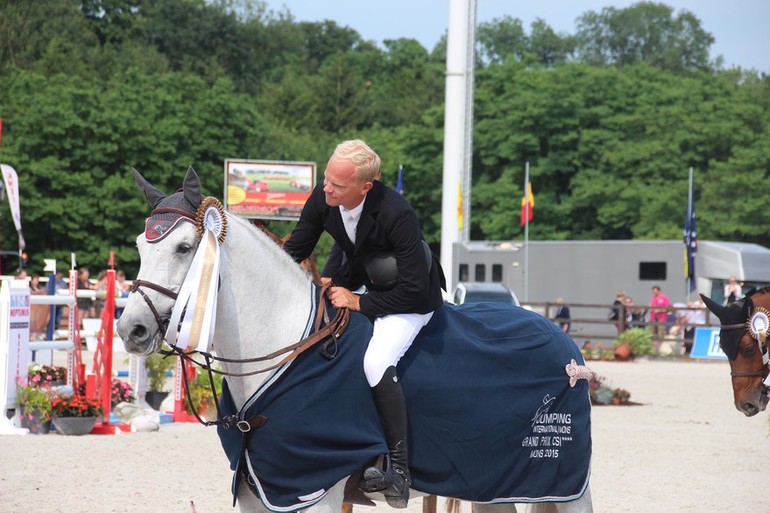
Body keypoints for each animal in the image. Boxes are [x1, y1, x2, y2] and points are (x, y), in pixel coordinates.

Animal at [115, 168, 592, 512]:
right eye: (140, 245)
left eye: (183, 248)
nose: (130, 330)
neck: (286, 350)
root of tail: (567, 346)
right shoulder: (260, 496)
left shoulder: (313, 492)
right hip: (493, 486)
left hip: (566, 486)